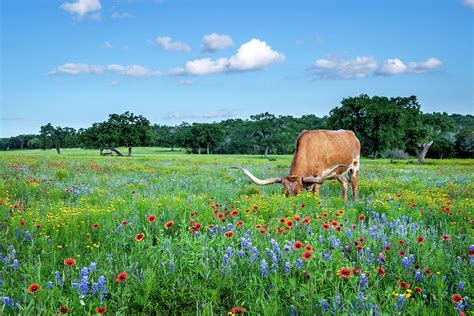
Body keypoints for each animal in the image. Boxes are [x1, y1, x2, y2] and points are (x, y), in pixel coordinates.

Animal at [231, 130, 362, 201]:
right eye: (285, 193)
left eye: (298, 193)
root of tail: (353, 135)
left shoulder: (318, 178)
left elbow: (315, 193)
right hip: (338, 172)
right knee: (345, 183)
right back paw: (343, 202)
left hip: (354, 167)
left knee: (354, 186)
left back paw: (354, 203)